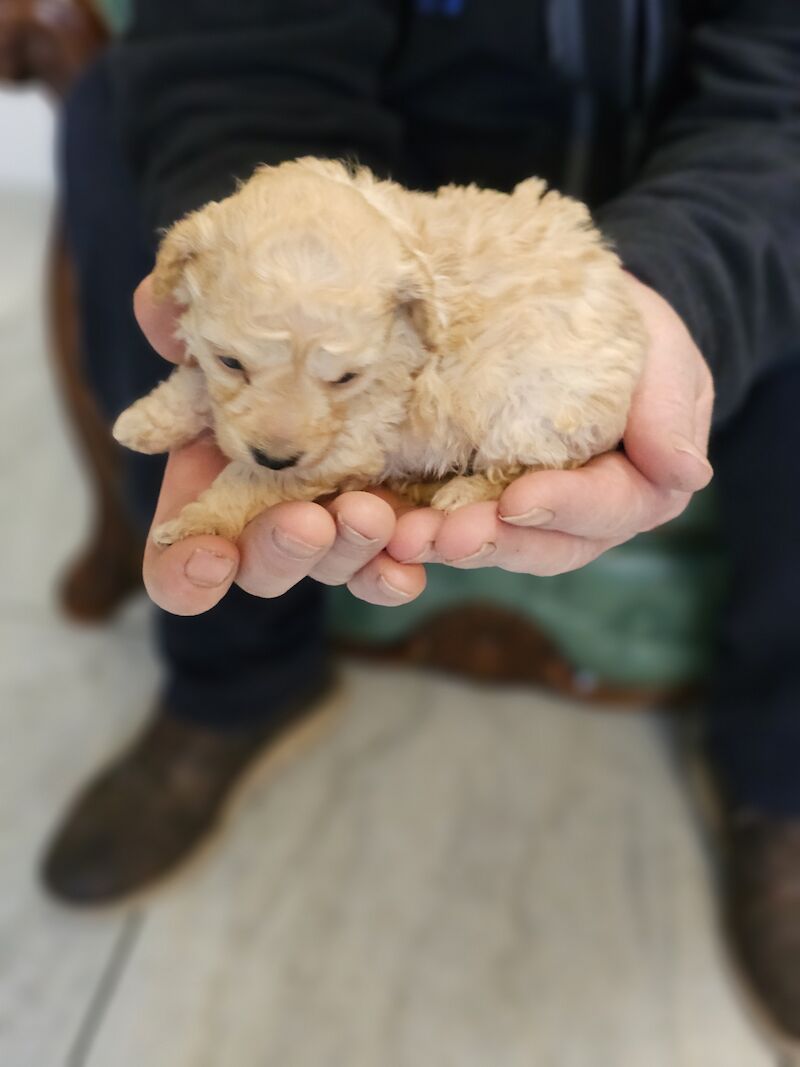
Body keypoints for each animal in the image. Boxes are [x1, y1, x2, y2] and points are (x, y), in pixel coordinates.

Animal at [113, 160, 648, 542]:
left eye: (345, 379)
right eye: (231, 362)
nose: (275, 457)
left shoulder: (354, 439)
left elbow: (248, 482)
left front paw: (197, 522)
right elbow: (195, 385)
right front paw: (144, 421)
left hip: (533, 411)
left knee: (525, 465)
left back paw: (461, 491)